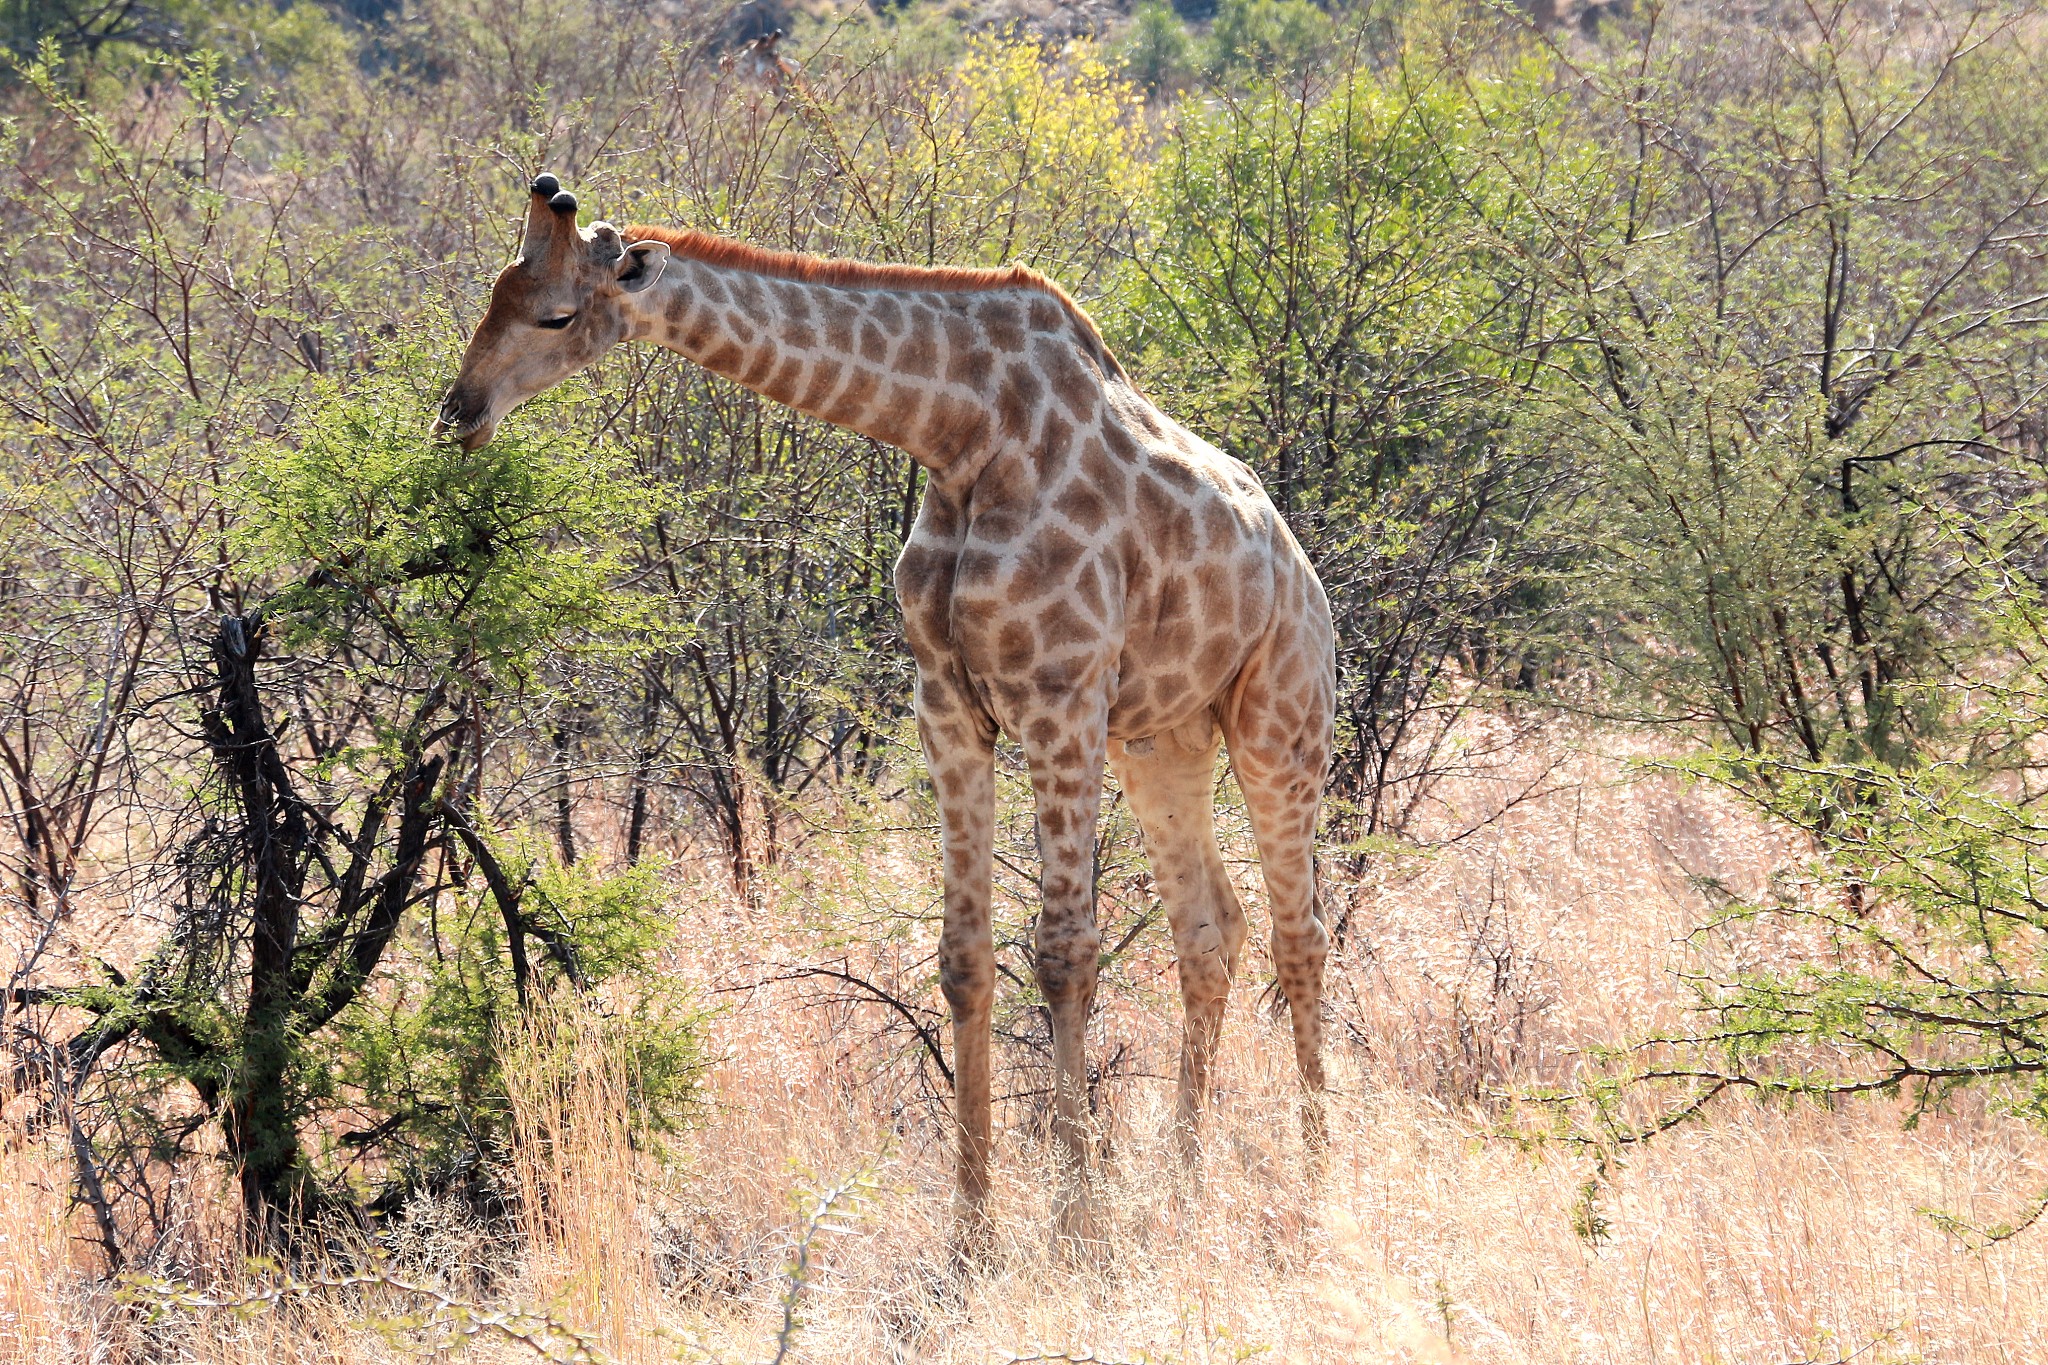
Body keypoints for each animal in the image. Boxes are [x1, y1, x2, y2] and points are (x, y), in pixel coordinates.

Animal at [444, 175, 1343, 1244]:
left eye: (555, 313)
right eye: (493, 293)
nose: (457, 411)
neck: (960, 432)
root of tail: (1302, 569)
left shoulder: (1060, 696)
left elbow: (1065, 955)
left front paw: (1077, 1222)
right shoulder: (948, 704)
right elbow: (963, 958)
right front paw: (973, 1227)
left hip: (1280, 722)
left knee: (1300, 931)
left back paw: (1316, 1171)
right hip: (1162, 740)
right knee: (1212, 931)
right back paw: (1187, 1179)